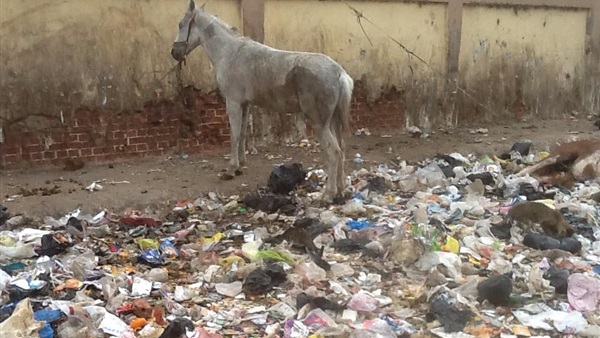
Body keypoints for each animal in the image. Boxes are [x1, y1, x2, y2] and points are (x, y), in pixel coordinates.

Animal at [171, 0, 354, 201]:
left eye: (180, 24)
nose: (174, 52)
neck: (229, 52)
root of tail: (339, 73)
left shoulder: (233, 102)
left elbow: (234, 134)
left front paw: (231, 169)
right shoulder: (245, 104)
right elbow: (242, 133)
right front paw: (240, 166)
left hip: (320, 124)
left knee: (334, 152)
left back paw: (328, 194)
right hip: (334, 121)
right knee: (342, 150)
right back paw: (341, 190)